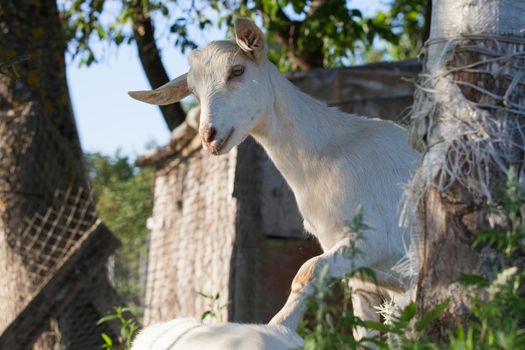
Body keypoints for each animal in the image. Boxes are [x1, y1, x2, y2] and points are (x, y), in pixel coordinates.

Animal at [130, 17, 418, 338]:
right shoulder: (360, 269)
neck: (329, 153)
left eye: (237, 70)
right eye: (193, 90)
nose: (208, 136)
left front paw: (277, 327)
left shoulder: (377, 239)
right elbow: (365, 329)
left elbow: (307, 271)